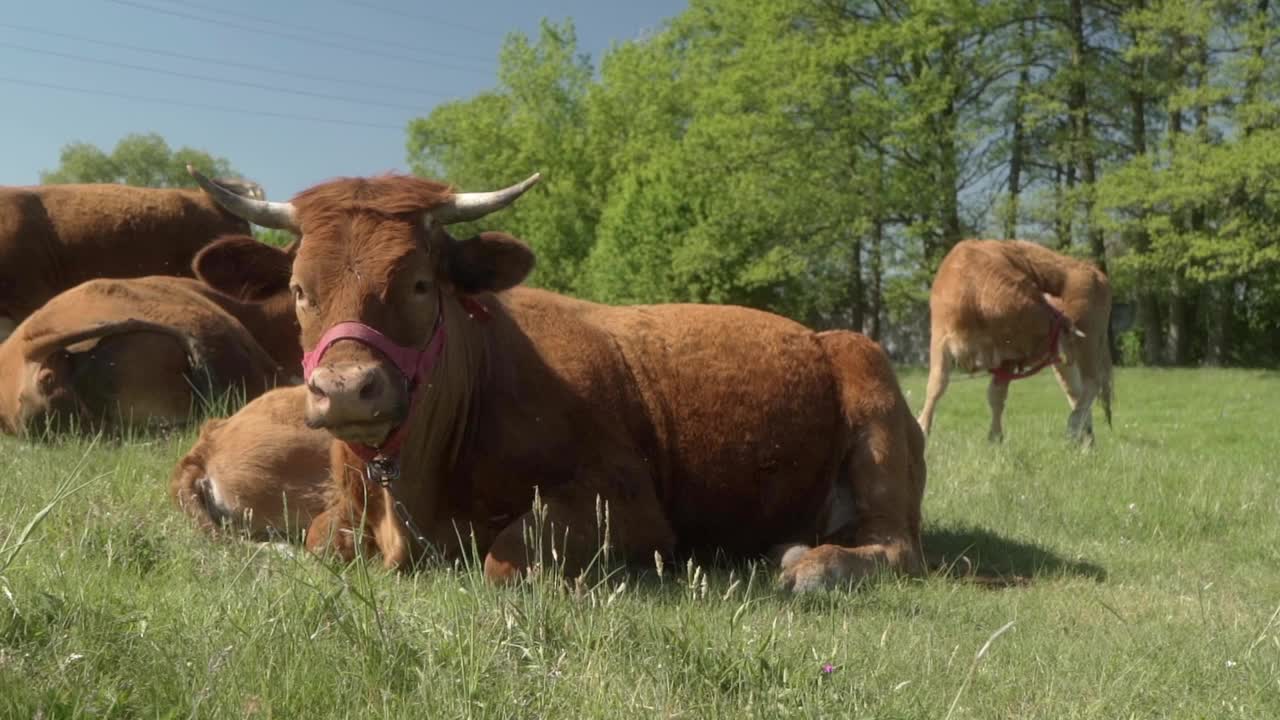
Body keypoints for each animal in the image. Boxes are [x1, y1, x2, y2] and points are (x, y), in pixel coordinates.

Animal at [192, 166, 931, 589]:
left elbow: (506, 556)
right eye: (299, 290)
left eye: (421, 283)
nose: (346, 389)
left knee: (897, 545)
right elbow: (321, 542)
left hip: (874, 402)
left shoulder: (630, 509)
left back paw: (813, 565)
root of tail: (823, 333)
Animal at [916, 240, 1116, 443]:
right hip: (1070, 360)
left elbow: (996, 396)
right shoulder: (940, 341)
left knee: (1092, 383)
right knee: (1075, 392)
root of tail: (1095, 272)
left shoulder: (1007, 356)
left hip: (1089, 344)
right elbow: (936, 385)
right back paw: (1085, 440)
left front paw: (995, 437)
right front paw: (923, 428)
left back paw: (1073, 428)